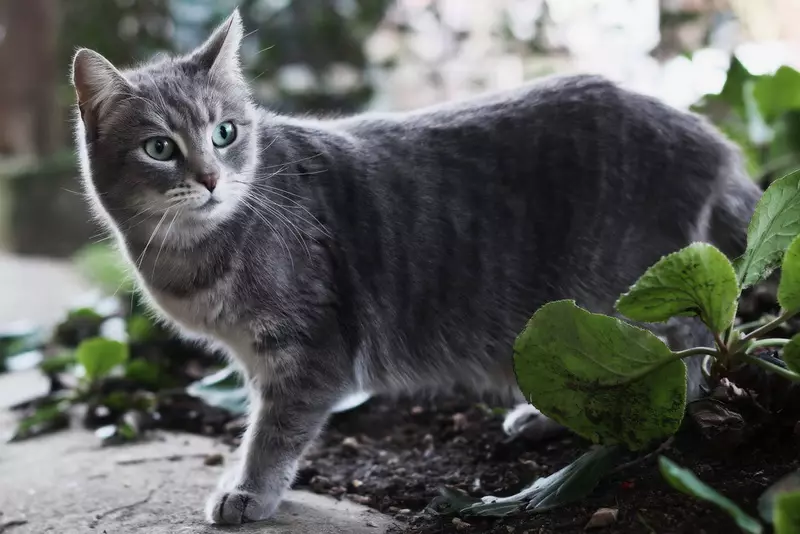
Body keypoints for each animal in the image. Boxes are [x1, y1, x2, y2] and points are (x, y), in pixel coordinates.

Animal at [70, 8, 764, 528]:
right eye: (160, 148)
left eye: (225, 133)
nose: (212, 179)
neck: (193, 253)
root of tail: (712, 140)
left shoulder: (312, 348)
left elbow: (274, 429)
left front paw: (248, 491)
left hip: (632, 289)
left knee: (685, 351)